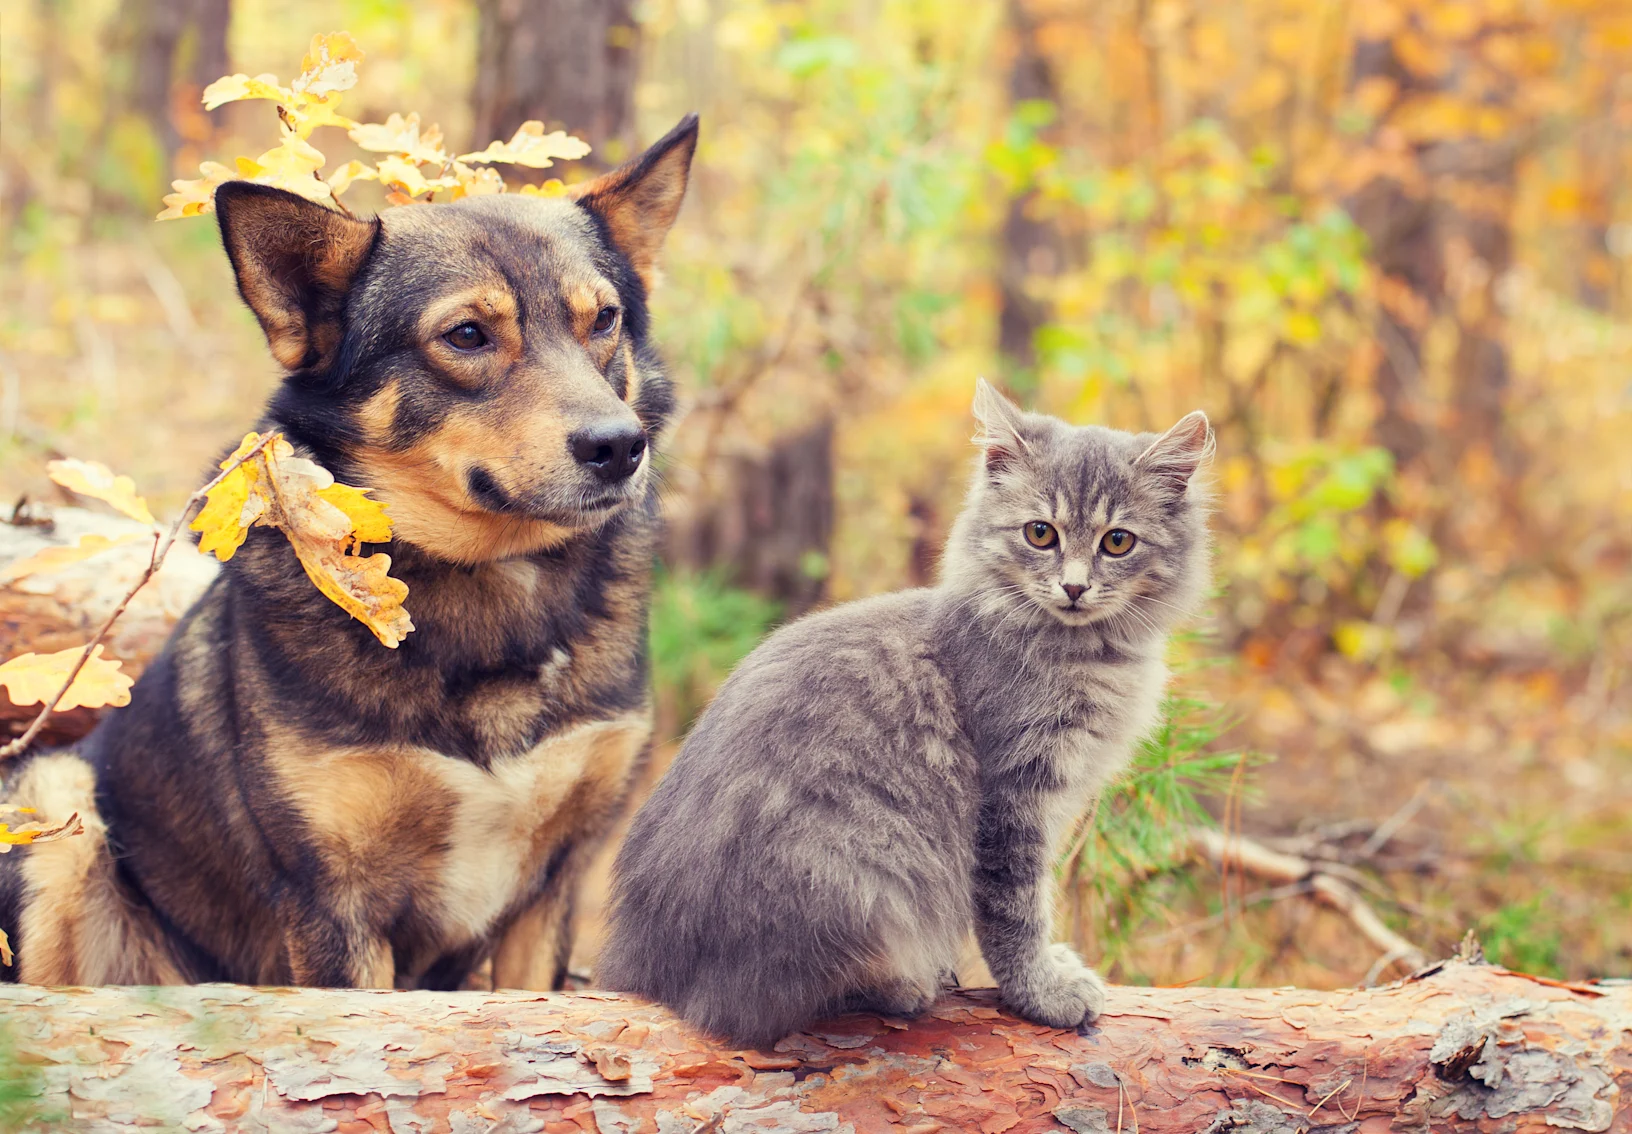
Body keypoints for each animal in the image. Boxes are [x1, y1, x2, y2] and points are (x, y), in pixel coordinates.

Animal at [0, 110, 695, 992]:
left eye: (602, 320)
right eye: (467, 336)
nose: (619, 447)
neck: (491, 582)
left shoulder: (549, 892)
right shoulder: (334, 904)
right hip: (57, 804)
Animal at [600, 381, 1214, 1044]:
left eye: (1117, 542)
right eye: (1040, 534)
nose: (1074, 587)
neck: (1083, 652)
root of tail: (646, 968)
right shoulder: (1012, 797)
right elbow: (1016, 910)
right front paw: (1042, 992)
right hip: (859, 871)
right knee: (759, 1005)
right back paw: (904, 986)